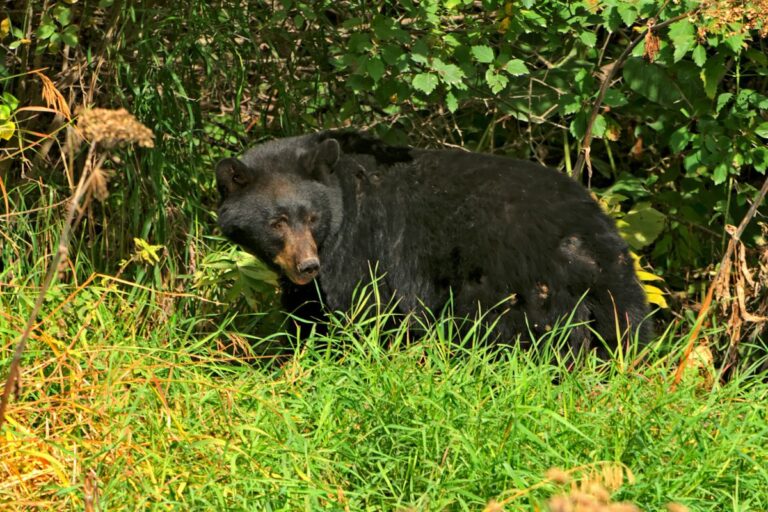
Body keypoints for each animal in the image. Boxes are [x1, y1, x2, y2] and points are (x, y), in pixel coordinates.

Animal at [215, 130, 651, 355]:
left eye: (312, 217)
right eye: (277, 221)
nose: (307, 266)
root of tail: (588, 233)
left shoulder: (359, 246)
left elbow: (359, 307)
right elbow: (308, 310)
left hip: (517, 286)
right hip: (613, 295)